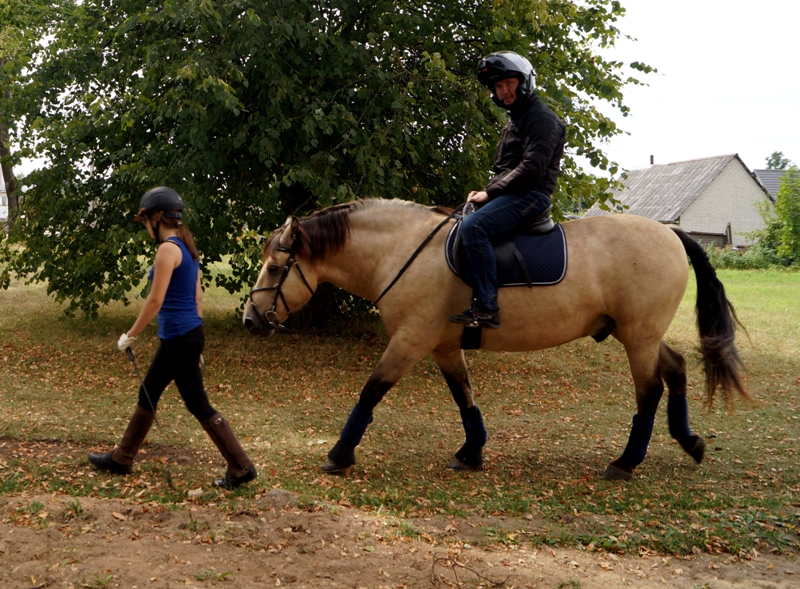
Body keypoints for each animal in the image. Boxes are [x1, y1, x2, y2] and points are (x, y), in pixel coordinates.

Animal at [243, 198, 745, 480]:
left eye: (275, 267)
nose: (250, 319)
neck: (402, 251)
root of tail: (671, 233)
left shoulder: (409, 341)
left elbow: (370, 392)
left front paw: (340, 453)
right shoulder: (443, 346)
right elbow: (464, 398)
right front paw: (471, 451)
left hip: (638, 338)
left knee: (649, 392)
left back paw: (627, 462)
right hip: (638, 334)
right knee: (676, 369)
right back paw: (689, 441)